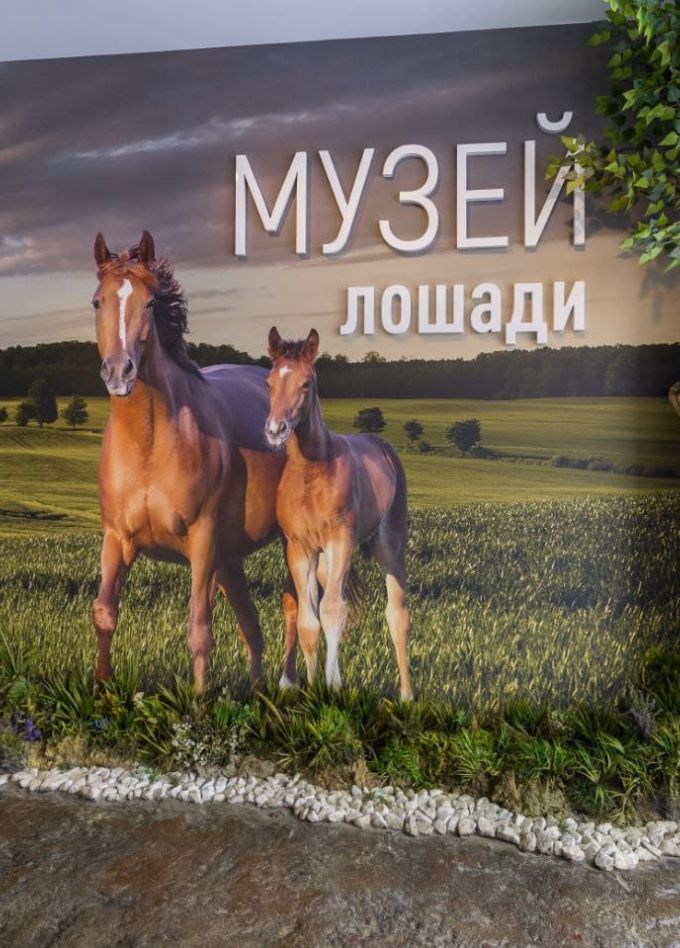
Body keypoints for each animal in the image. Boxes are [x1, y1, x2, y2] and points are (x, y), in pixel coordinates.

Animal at [91, 231, 299, 693]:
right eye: (97, 301)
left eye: (150, 302)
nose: (119, 371)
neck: (149, 444)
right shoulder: (116, 539)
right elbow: (105, 614)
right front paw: (102, 690)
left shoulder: (202, 543)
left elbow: (199, 631)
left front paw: (199, 702)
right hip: (230, 559)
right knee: (251, 624)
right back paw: (257, 692)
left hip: (287, 544)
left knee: (297, 610)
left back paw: (287, 685)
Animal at [264, 326, 413, 701]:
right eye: (269, 382)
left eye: (306, 383)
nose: (275, 430)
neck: (311, 471)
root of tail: (383, 447)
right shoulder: (300, 548)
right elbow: (308, 619)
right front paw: (311, 688)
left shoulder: (340, 541)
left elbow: (333, 611)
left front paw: (333, 686)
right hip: (324, 560)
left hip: (389, 547)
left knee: (397, 614)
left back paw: (407, 696)